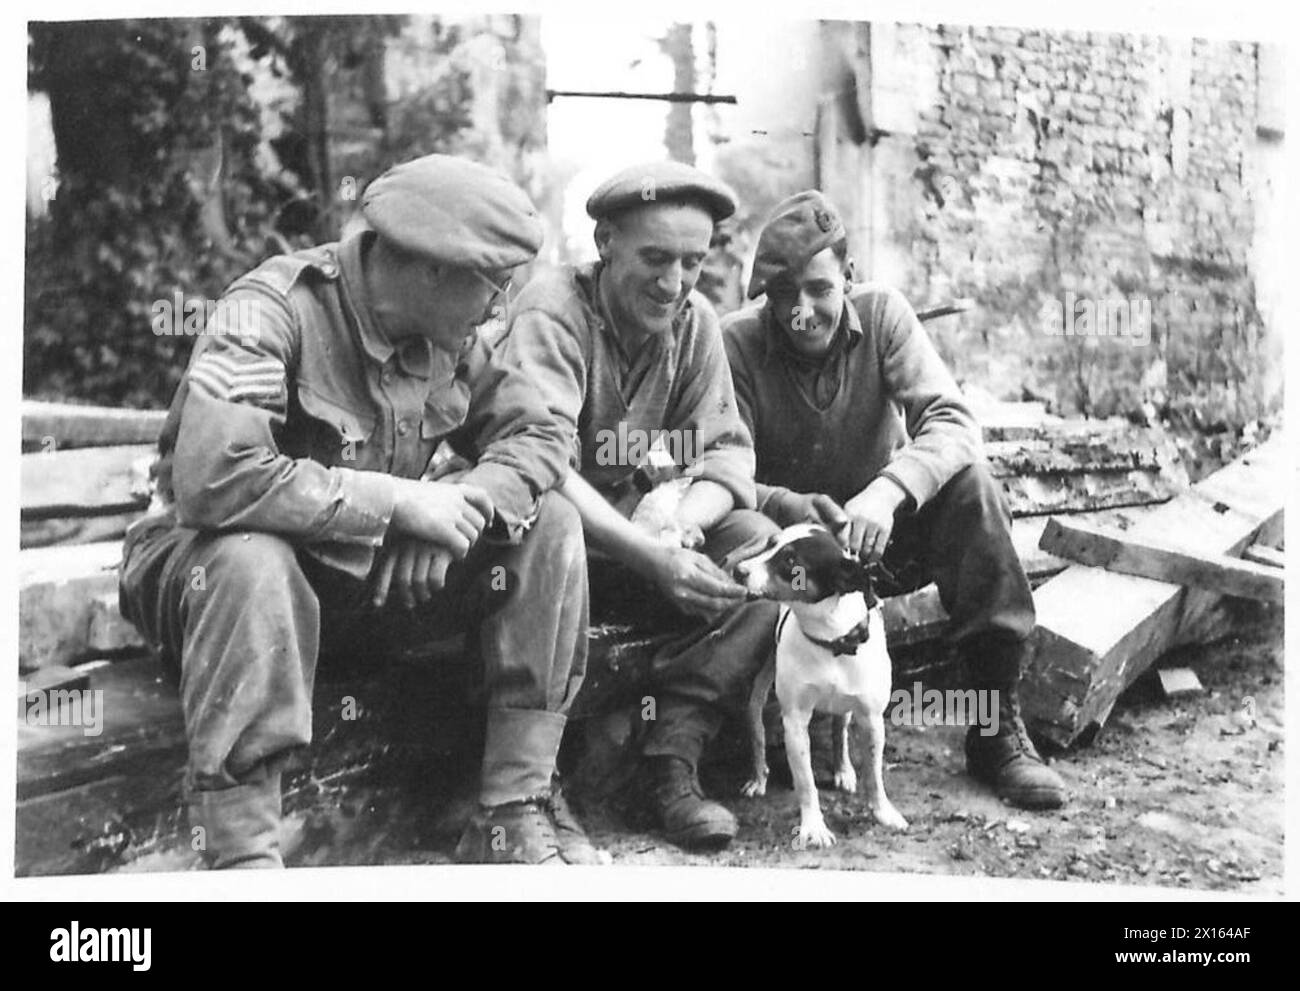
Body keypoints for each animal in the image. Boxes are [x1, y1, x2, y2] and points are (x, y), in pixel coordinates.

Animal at [738, 520, 909, 847]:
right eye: (771, 543)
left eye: (791, 560)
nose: (738, 570)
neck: (831, 641)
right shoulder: (795, 721)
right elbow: (806, 782)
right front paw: (813, 827)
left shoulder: (871, 718)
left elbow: (874, 773)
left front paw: (883, 812)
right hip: (759, 690)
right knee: (756, 730)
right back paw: (758, 777)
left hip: (847, 706)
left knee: (839, 730)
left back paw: (843, 770)